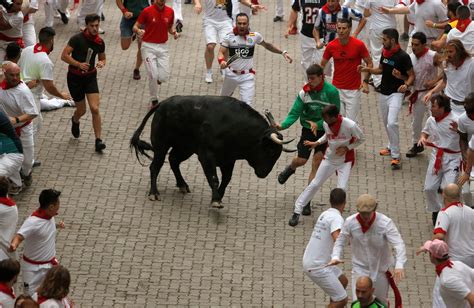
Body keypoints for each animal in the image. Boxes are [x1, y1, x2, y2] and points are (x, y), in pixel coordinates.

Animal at [130, 95, 292, 207]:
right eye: (270, 151)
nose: (264, 173)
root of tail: (163, 103)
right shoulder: (206, 156)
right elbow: (213, 177)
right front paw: (216, 200)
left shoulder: (229, 159)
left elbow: (226, 179)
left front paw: (218, 195)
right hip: (161, 146)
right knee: (155, 166)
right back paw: (154, 193)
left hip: (185, 148)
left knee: (174, 160)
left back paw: (182, 185)